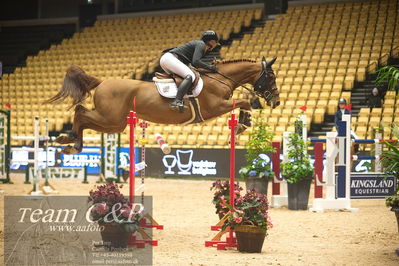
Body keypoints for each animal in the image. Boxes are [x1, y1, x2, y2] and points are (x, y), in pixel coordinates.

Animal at [44, 57, 282, 155]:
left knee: (83, 117)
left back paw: (69, 142)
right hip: (110, 118)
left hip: (115, 124)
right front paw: (243, 123)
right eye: (270, 76)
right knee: (80, 112)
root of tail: (103, 82)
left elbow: (243, 101)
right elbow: (244, 101)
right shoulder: (214, 107)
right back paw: (71, 141)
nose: (276, 101)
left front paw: (243, 122)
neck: (219, 78)